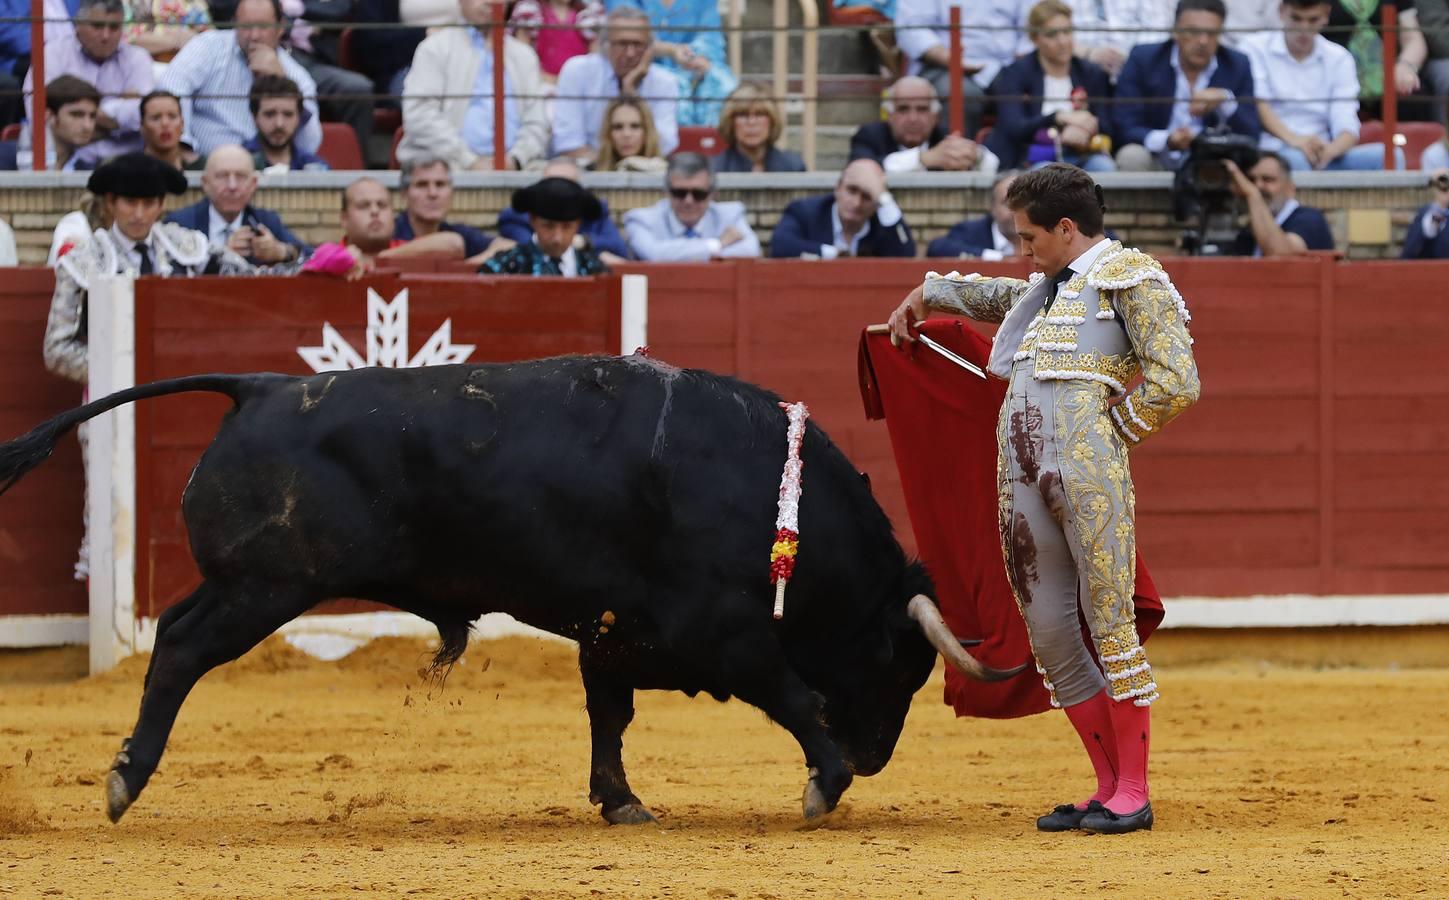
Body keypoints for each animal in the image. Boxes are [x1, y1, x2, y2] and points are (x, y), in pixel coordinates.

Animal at [0, 350, 1031, 823]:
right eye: (899, 666)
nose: (875, 759)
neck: (775, 497)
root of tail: (256, 386)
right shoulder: (725, 631)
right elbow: (792, 695)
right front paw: (823, 782)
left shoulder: (613, 630)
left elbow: (609, 715)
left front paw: (621, 802)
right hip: (265, 585)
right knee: (177, 646)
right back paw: (124, 780)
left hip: (250, 583)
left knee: (174, 628)